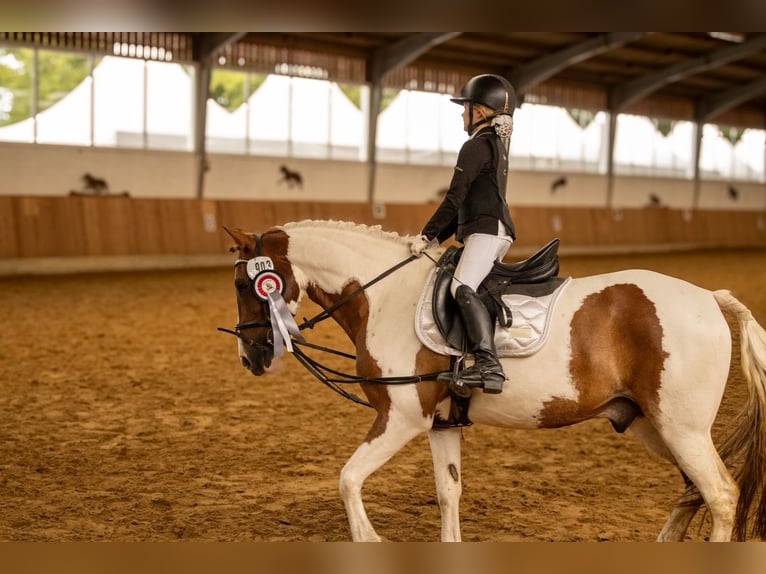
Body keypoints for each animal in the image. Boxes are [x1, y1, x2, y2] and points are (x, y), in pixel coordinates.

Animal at [221, 219, 766, 542]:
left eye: (245, 283)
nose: (250, 355)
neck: (386, 296)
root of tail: (709, 297)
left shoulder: (401, 419)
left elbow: (348, 480)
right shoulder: (442, 424)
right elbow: (448, 494)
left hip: (682, 428)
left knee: (720, 495)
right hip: (651, 425)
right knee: (694, 492)